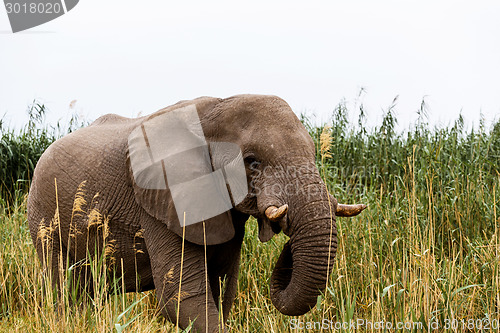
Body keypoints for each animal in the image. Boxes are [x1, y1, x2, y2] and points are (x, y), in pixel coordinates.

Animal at [27, 94, 366, 330]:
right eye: (252, 161)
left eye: (314, 152)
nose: (287, 232)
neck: (216, 110)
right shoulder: (164, 197)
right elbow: (184, 297)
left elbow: (221, 290)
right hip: (43, 216)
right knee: (63, 290)